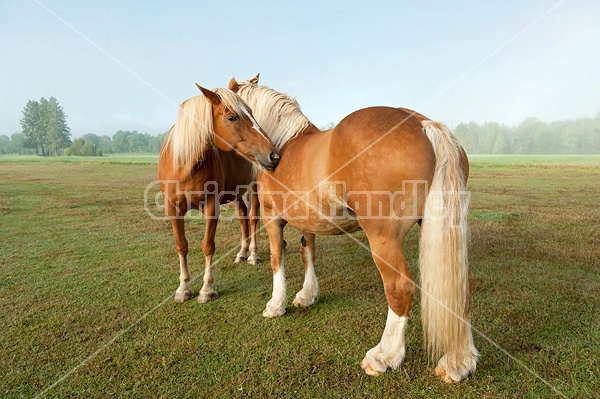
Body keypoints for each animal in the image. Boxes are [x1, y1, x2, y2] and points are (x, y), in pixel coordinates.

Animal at [159, 83, 282, 304]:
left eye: (251, 113)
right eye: (231, 117)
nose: (274, 155)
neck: (183, 165)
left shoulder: (211, 206)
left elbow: (208, 245)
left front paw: (207, 289)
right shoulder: (172, 208)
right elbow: (181, 245)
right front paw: (183, 288)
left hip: (254, 187)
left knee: (253, 218)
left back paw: (253, 255)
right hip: (235, 194)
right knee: (243, 217)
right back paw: (242, 253)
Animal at [234, 75, 478, 384]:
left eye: (238, 115)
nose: (267, 157)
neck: (284, 142)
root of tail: (422, 123)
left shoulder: (271, 218)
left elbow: (278, 258)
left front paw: (276, 305)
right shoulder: (309, 220)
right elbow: (307, 252)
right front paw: (307, 295)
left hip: (383, 239)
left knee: (399, 288)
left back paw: (384, 356)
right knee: (462, 284)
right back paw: (459, 362)